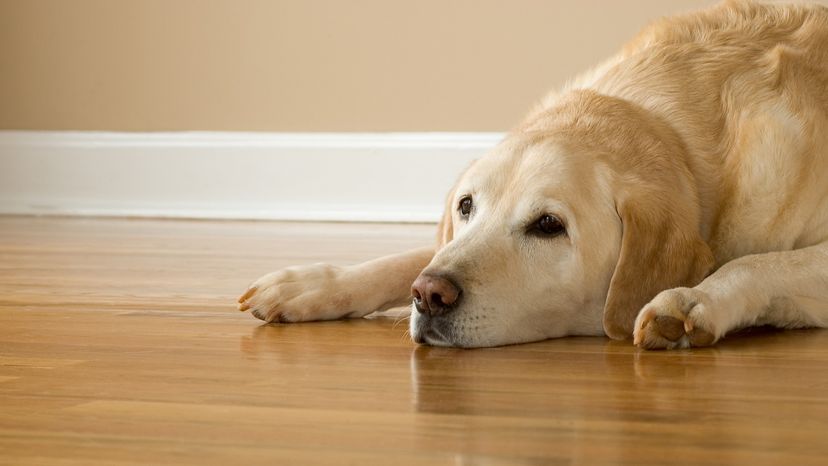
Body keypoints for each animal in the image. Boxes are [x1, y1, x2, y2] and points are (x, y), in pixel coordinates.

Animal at [236, 0, 828, 350]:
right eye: (466, 206)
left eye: (548, 226)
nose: (428, 295)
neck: (673, 135)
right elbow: (413, 254)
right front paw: (314, 283)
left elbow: (755, 262)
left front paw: (689, 300)